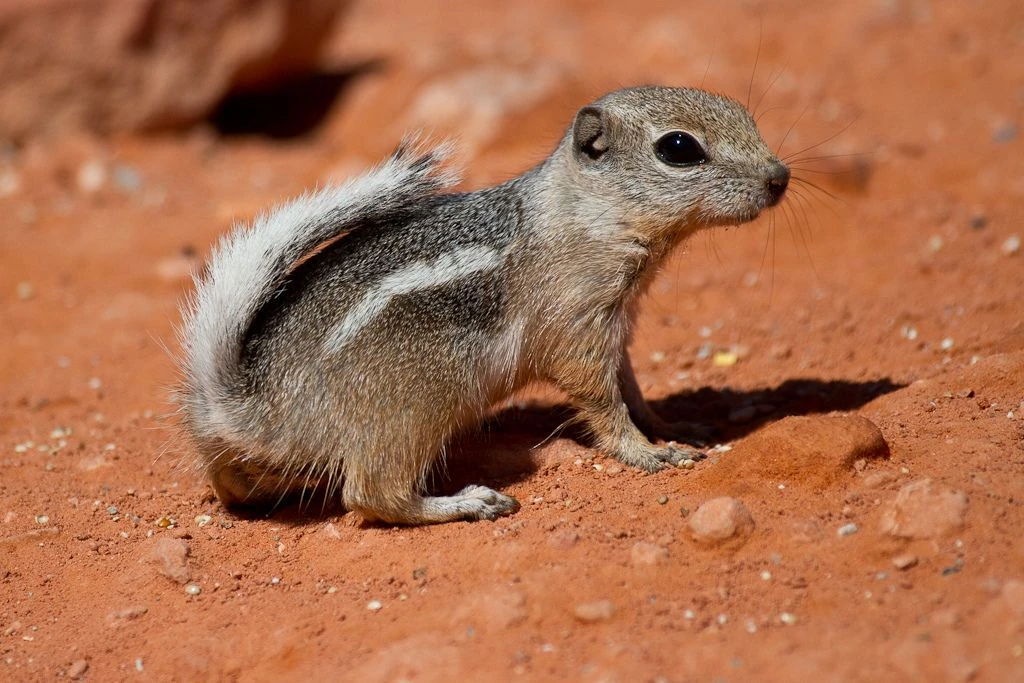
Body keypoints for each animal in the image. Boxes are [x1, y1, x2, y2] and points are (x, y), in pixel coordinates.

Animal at [177, 85, 789, 525]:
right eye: (679, 148)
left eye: (744, 112)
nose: (779, 177)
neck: (582, 210)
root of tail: (252, 404)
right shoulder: (577, 326)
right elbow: (601, 400)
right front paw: (647, 453)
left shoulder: (617, 326)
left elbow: (631, 388)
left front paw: (673, 423)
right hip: (419, 401)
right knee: (371, 494)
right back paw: (467, 503)